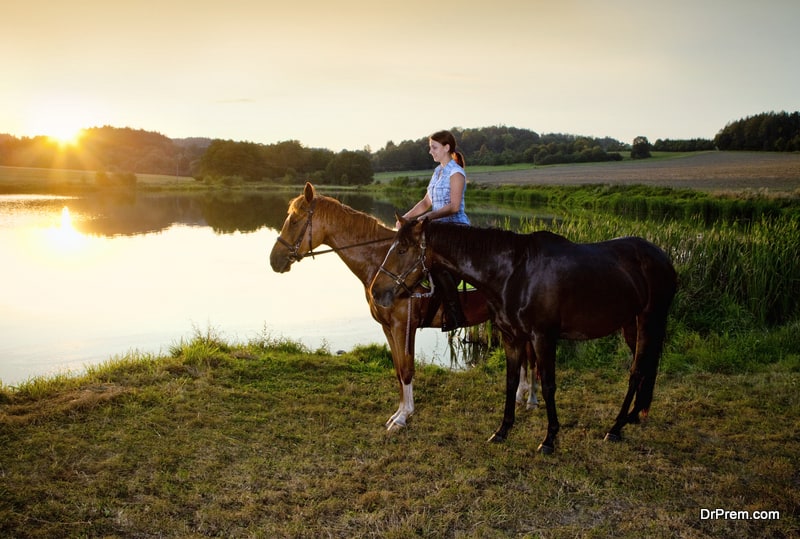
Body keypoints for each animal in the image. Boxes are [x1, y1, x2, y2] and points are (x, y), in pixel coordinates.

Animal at [268, 184, 536, 432]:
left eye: (294, 220)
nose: (274, 260)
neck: (379, 262)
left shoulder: (403, 326)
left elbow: (407, 370)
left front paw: (403, 417)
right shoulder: (388, 328)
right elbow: (398, 370)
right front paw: (398, 412)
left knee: (530, 356)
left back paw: (531, 399)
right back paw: (522, 395)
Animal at [370, 217, 676, 454]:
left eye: (402, 249)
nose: (376, 291)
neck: (514, 273)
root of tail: (662, 256)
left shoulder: (543, 338)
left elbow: (548, 385)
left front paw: (550, 438)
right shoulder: (512, 337)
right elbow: (511, 381)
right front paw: (502, 431)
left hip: (649, 320)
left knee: (637, 371)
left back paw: (616, 426)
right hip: (631, 324)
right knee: (645, 366)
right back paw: (634, 415)